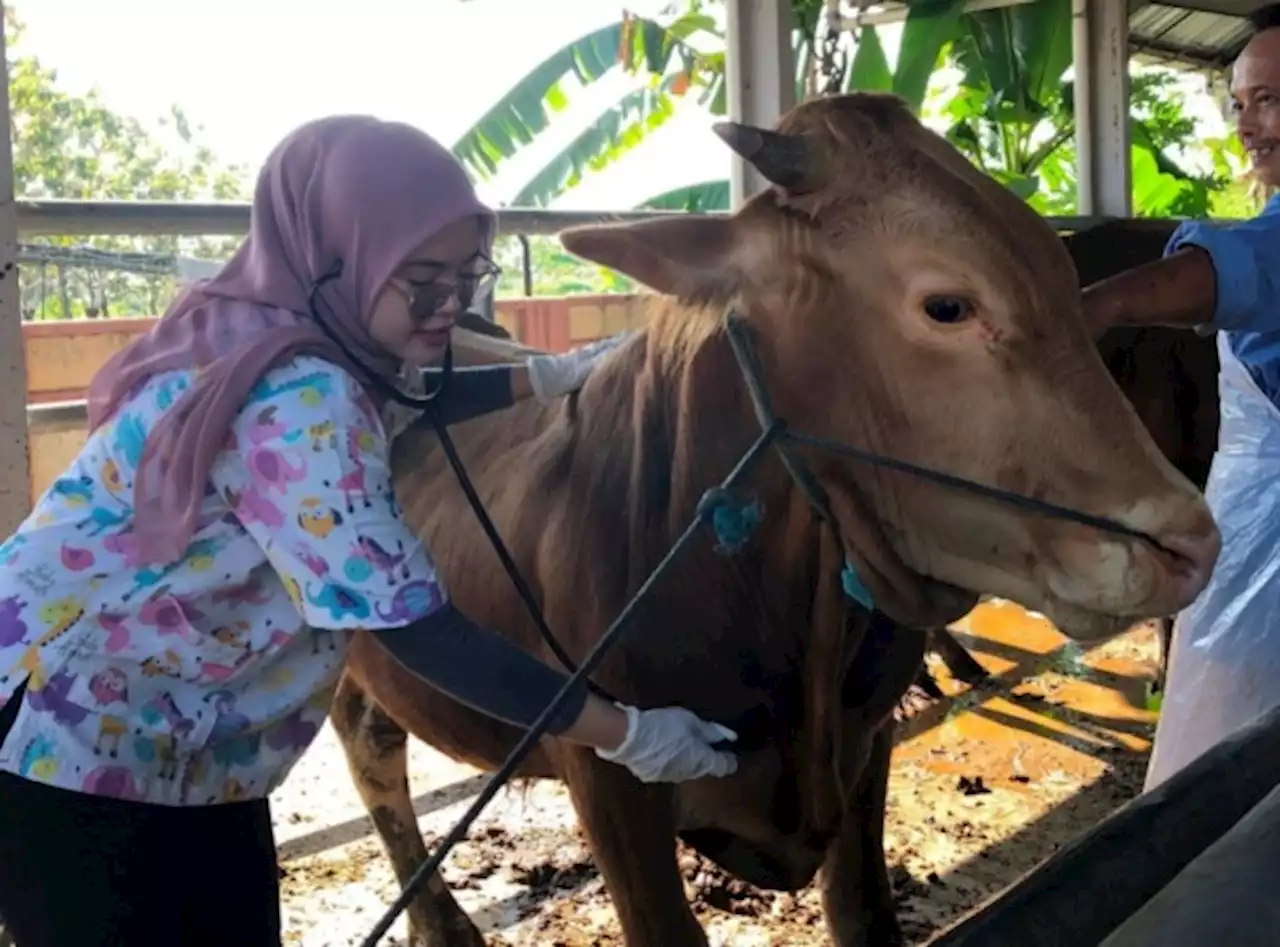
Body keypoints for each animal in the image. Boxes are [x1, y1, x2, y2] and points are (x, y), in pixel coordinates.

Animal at [335, 95, 1213, 947]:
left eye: (1067, 280)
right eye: (948, 305)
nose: (1188, 542)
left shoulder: (865, 746)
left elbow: (863, 912)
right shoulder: (608, 783)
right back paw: (443, 923)